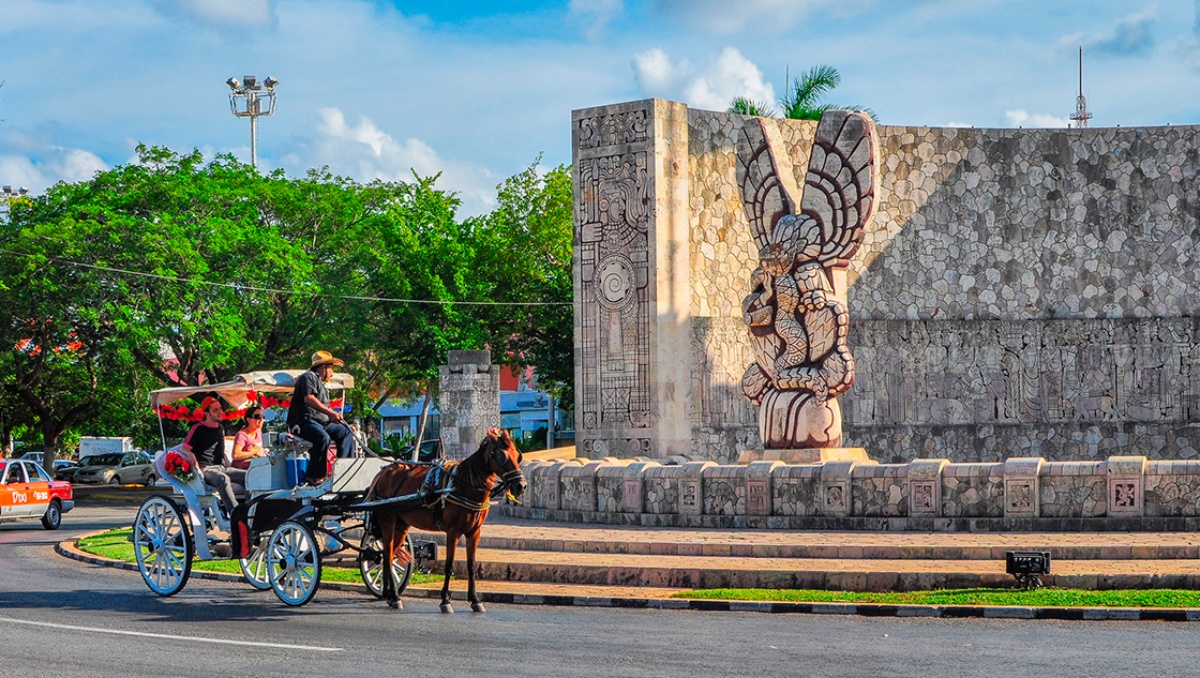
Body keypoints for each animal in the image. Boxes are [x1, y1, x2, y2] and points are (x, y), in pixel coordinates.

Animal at [364, 427, 525, 614]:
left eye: (517, 455)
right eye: (501, 456)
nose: (521, 486)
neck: (462, 485)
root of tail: (382, 473)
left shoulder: (474, 532)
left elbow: (471, 565)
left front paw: (475, 600)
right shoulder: (453, 532)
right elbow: (449, 565)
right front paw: (445, 601)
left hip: (401, 525)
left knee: (388, 555)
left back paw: (391, 596)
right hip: (388, 521)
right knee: (387, 555)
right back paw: (395, 596)